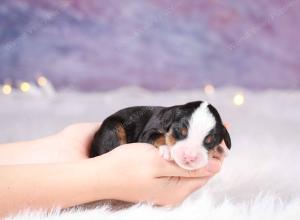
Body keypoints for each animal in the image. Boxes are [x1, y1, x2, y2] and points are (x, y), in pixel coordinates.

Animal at [90, 101, 231, 170]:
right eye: (180, 131)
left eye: (209, 140)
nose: (190, 157)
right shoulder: (147, 133)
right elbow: (159, 136)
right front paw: (167, 149)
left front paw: (221, 150)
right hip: (113, 128)